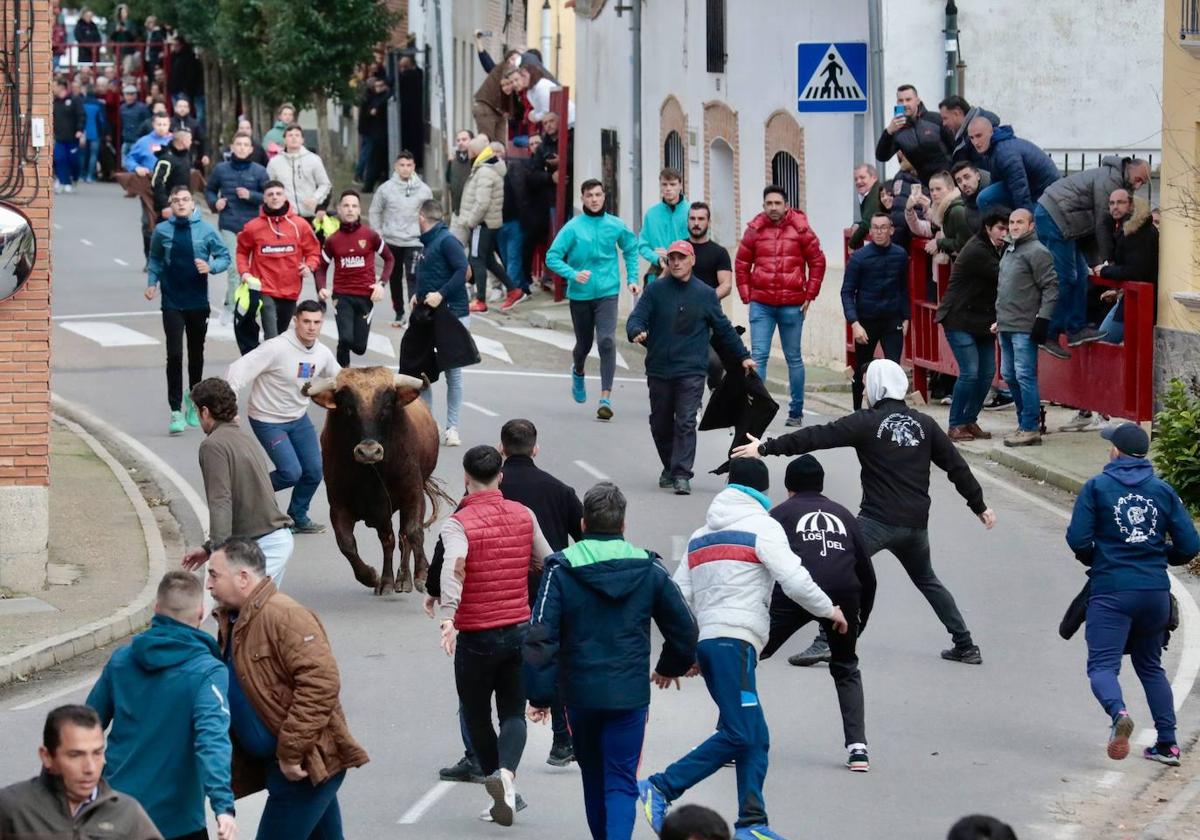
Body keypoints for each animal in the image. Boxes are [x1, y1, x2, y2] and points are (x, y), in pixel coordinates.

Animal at [300, 369, 451, 597]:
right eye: (348, 407)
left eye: (387, 406)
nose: (369, 451)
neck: (370, 474)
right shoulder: (338, 505)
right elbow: (347, 545)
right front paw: (371, 576)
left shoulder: (413, 495)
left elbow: (414, 533)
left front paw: (422, 575)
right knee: (389, 540)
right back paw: (388, 581)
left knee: (403, 537)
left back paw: (403, 580)